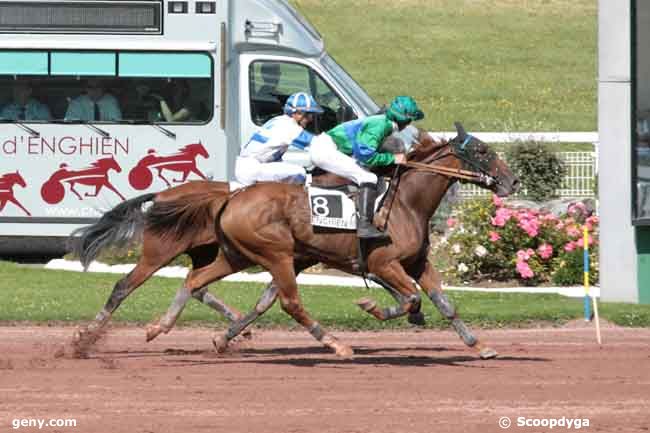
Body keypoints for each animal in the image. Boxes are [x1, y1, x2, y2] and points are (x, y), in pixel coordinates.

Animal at [137, 122, 516, 358]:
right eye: (482, 151)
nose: (511, 181)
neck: (406, 202)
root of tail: (234, 195)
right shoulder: (383, 262)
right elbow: (410, 299)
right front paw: (373, 306)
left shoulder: (417, 262)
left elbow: (444, 303)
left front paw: (479, 344)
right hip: (276, 254)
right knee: (290, 303)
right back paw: (337, 344)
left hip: (239, 255)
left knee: (198, 280)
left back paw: (165, 327)